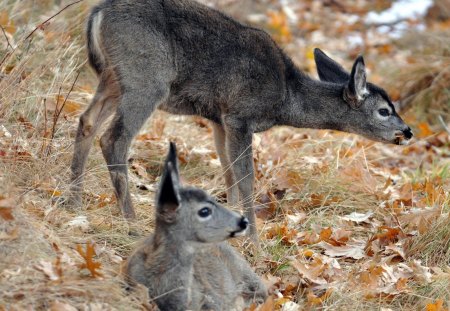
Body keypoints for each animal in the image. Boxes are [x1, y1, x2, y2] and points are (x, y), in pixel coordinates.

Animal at [69, 0, 412, 241]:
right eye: (384, 110)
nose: (407, 131)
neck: (285, 97)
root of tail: (99, 12)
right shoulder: (240, 114)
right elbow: (246, 178)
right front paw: (254, 240)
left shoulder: (219, 118)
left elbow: (228, 172)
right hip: (146, 78)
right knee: (114, 138)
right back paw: (130, 222)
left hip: (113, 77)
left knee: (86, 122)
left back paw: (74, 201)